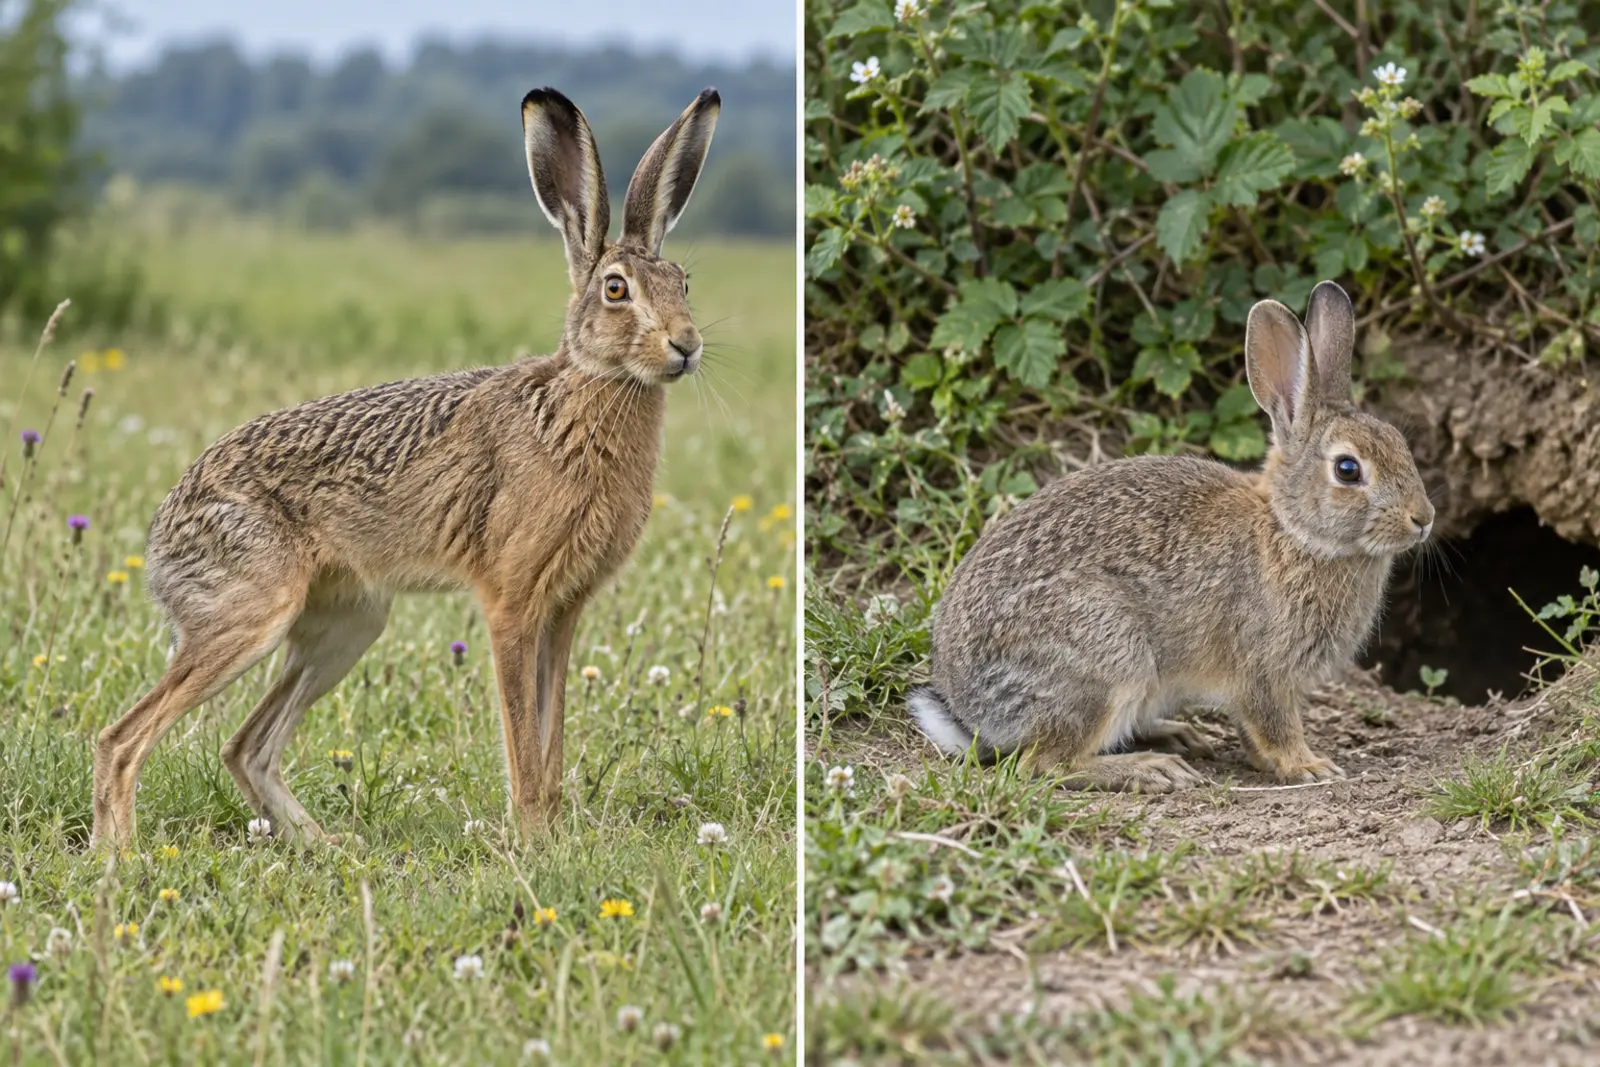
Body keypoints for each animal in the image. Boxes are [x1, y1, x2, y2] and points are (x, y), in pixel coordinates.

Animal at [90, 86, 721, 847]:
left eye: (683, 280)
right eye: (617, 289)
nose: (686, 345)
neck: (584, 392)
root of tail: (163, 533)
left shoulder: (563, 608)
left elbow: (551, 734)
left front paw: (552, 832)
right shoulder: (512, 602)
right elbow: (523, 736)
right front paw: (533, 839)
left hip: (348, 624)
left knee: (245, 747)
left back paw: (328, 847)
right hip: (250, 612)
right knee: (123, 739)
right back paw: (122, 857)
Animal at [909, 281, 1435, 792]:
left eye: (1400, 444)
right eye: (1348, 469)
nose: (1423, 518)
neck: (1292, 530)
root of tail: (970, 711)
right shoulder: (1263, 671)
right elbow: (1274, 723)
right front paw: (1307, 766)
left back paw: (1176, 737)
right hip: (1106, 657)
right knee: (1046, 763)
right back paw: (1151, 769)